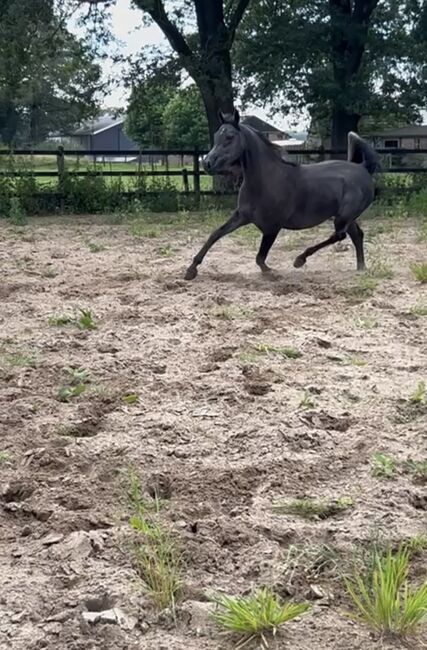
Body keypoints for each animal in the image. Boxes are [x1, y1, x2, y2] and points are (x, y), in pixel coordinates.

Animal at [186, 109, 380, 280]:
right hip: (347, 217)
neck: (264, 182)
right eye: (216, 136)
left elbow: (260, 258)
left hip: (343, 217)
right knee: (357, 235)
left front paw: (271, 272)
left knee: (339, 236)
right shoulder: (241, 216)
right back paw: (360, 268)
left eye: (230, 137)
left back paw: (300, 260)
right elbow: (215, 235)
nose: (207, 163)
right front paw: (191, 270)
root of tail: (363, 168)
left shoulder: (272, 227)